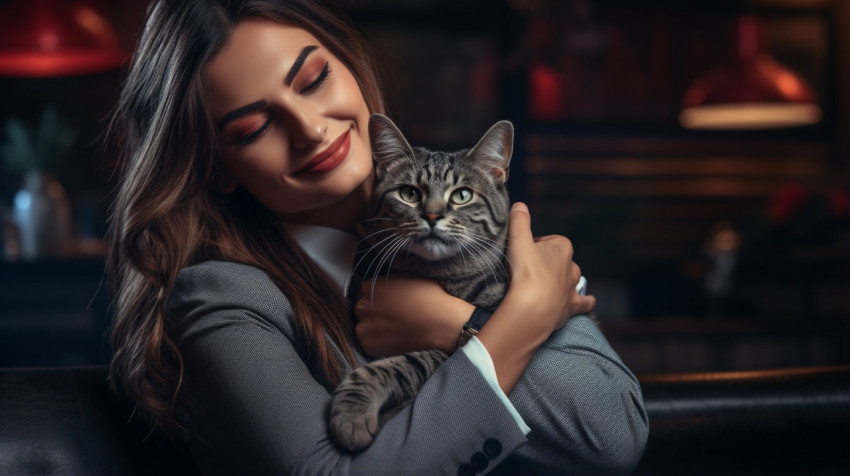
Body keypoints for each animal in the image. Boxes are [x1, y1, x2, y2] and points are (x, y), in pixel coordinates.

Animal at [328, 113, 510, 452]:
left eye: (462, 195)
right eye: (409, 193)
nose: (433, 215)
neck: (434, 273)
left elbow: (402, 363)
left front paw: (353, 411)